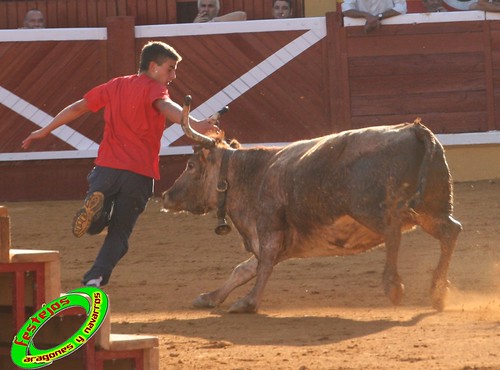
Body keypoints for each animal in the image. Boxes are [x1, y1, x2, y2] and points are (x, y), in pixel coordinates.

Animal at [162, 97, 462, 314]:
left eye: (191, 165)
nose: (166, 196)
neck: (252, 174)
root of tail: (415, 128)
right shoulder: (279, 241)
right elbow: (244, 269)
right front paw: (210, 297)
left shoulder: (269, 230)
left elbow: (263, 266)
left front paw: (248, 302)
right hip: (432, 210)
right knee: (450, 231)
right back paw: (438, 292)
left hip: (372, 209)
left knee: (393, 232)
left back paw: (394, 286)